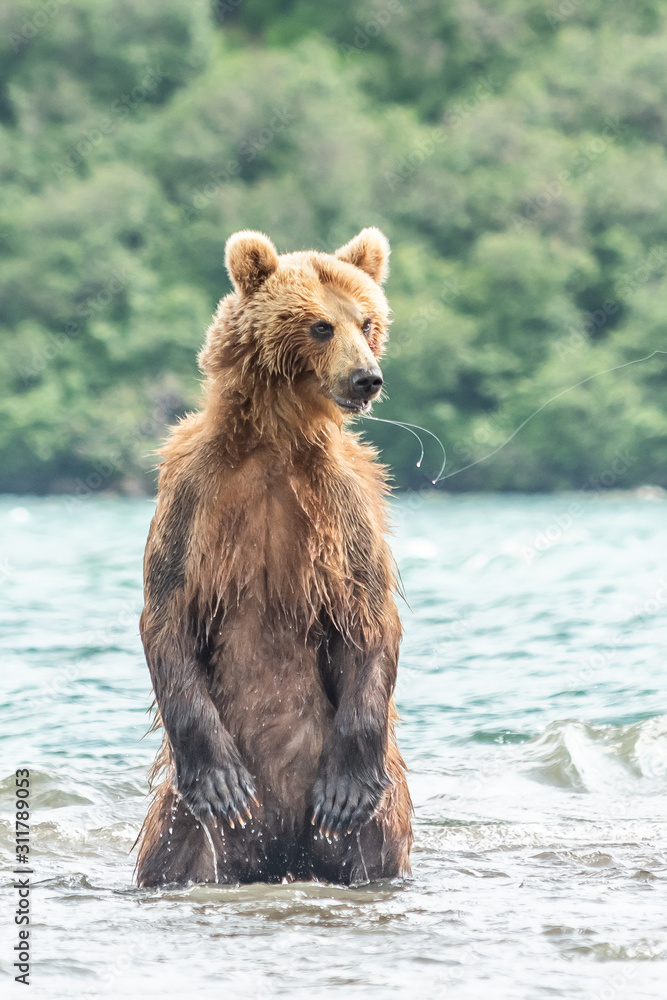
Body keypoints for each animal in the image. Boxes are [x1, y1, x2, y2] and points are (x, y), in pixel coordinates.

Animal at [135, 227, 413, 887]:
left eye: (368, 320)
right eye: (320, 325)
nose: (367, 378)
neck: (274, 441)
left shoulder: (344, 505)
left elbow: (370, 614)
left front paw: (344, 792)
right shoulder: (194, 495)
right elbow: (167, 612)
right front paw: (223, 785)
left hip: (376, 822)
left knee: (373, 849)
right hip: (186, 825)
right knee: (171, 856)